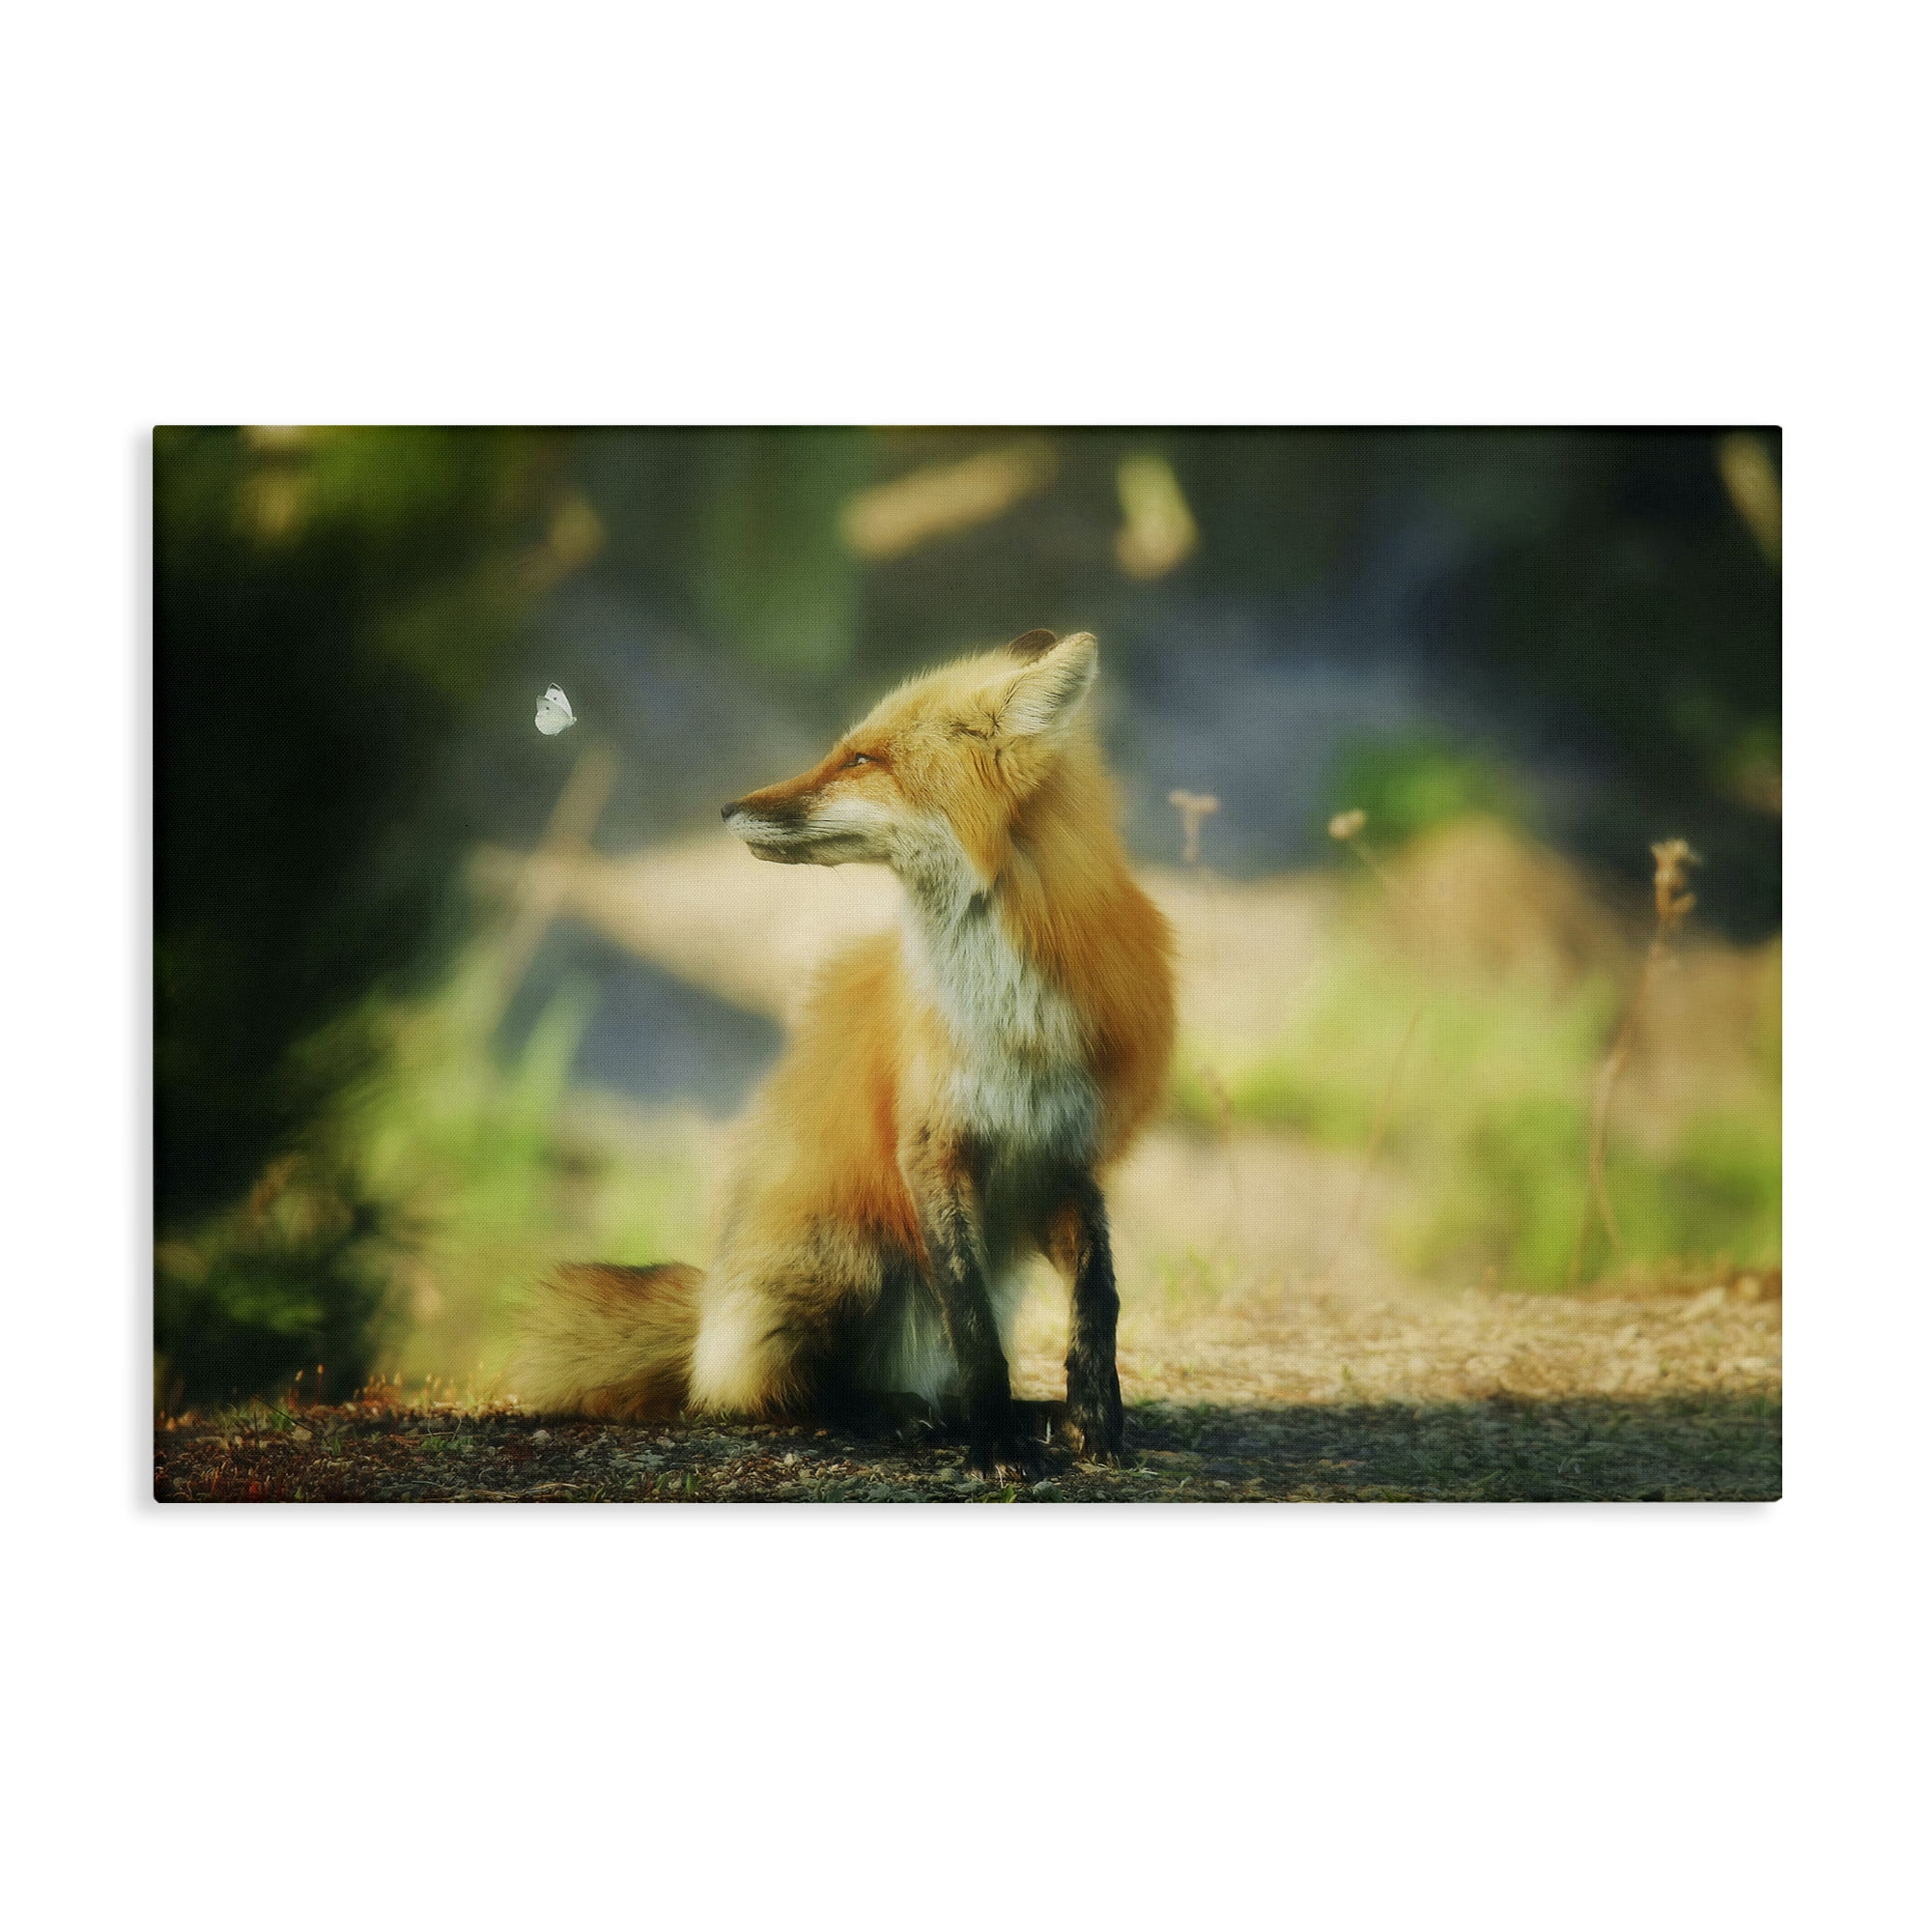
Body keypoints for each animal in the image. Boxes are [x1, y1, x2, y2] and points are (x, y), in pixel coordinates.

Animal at [509, 628, 1175, 1475]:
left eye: (862, 759)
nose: (725, 807)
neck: (1008, 1014)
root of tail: (709, 1319)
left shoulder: (1066, 1152)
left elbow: (1099, 1297)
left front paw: (1094, 1418)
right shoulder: (929, 1145)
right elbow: (973, 1325)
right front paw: (996, 1443)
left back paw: (1007, 1413)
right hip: (851, 1254)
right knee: (779, 1393)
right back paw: (893, 1412)